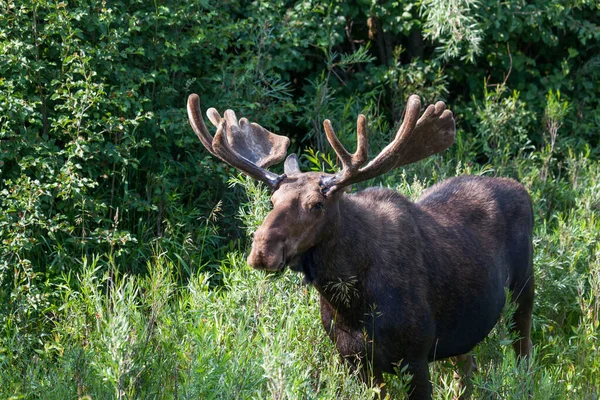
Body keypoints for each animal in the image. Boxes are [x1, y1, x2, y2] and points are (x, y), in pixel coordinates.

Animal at [186, 92, 536, 398]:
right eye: (273, 200)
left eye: (317, 205)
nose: (262, 251)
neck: (352, 302)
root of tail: (523, 189)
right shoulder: (354, 360)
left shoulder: (415, 355)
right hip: (463, 333)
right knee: (466, 371)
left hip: (523, 291)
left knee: (523, 355)